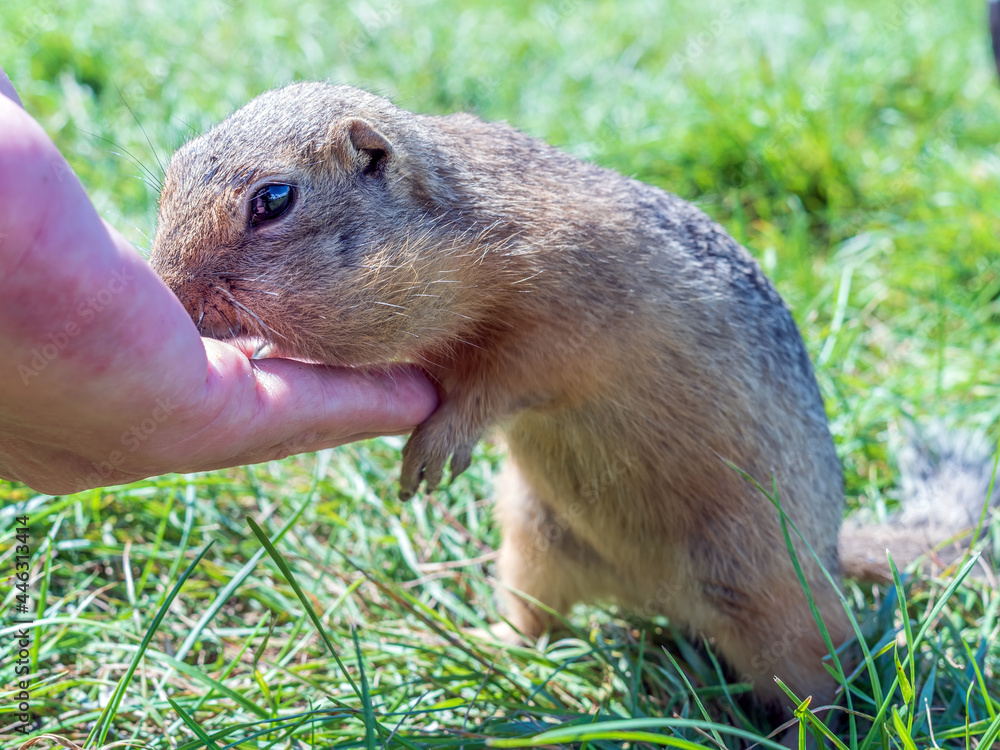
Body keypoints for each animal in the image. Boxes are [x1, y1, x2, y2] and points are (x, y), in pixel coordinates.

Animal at [146, 82, 992, 712]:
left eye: (274, 199)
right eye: (174, 170)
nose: (168, 290)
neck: (456, 242)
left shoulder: (564, 312)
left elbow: (507, 380)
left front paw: (433, 449)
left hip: (779, 603)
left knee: (821, 683)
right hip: (533, 541)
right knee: (538, 619)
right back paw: (493, 645)